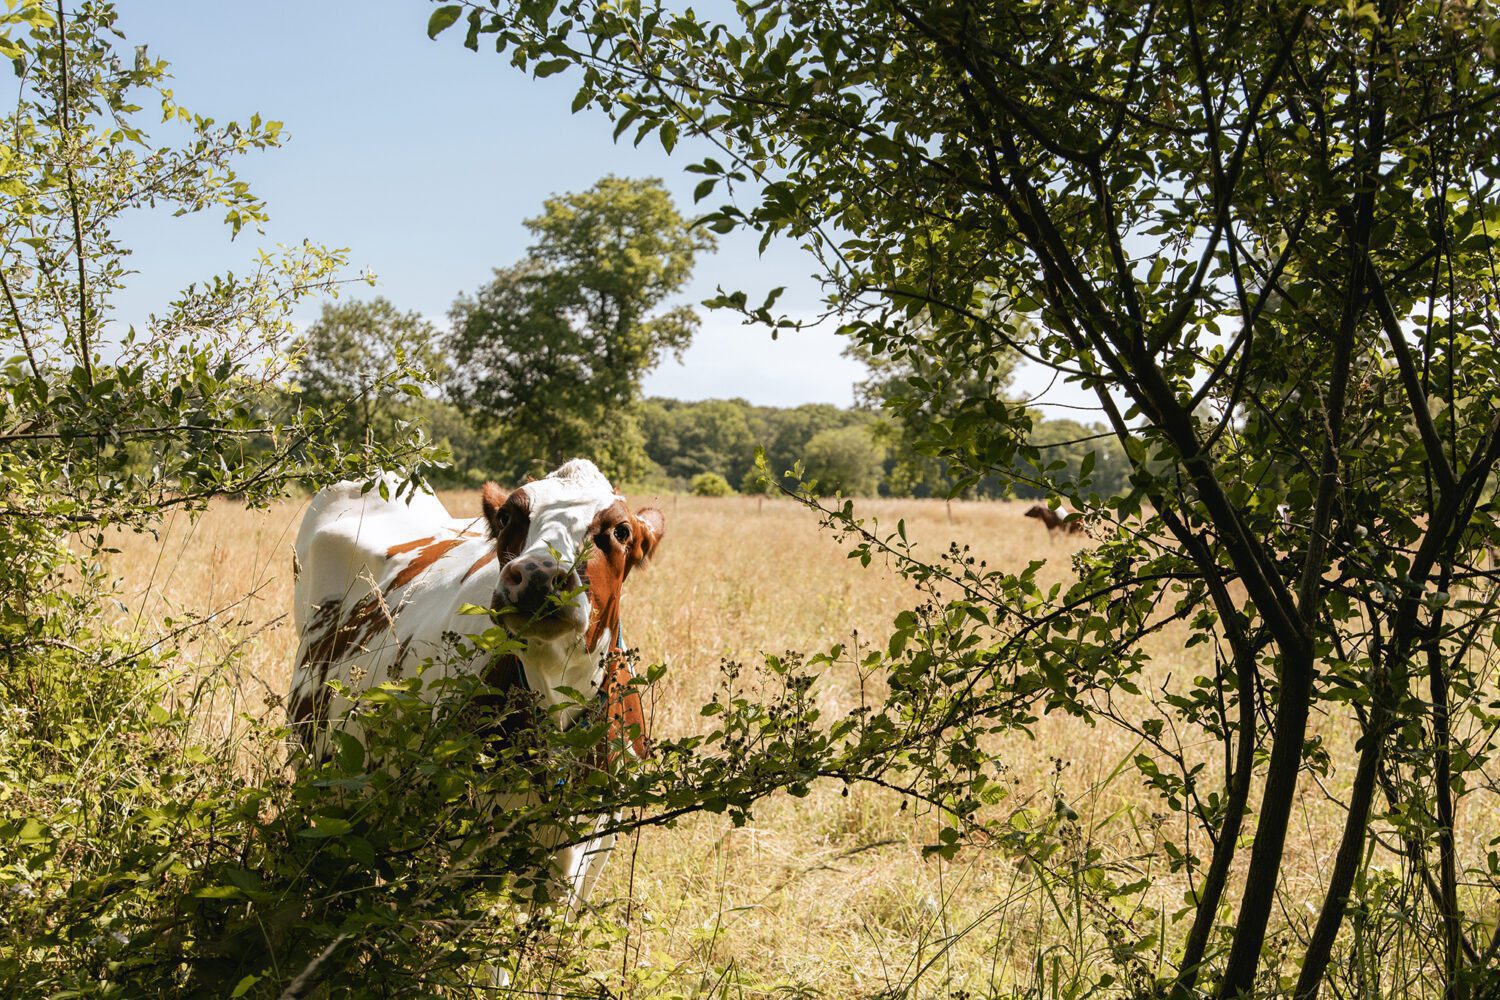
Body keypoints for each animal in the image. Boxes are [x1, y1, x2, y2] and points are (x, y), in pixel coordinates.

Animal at [286, 458, 663, 917]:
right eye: (507, 517)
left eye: (621, 531)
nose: (538, 577)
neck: (553, 687)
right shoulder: (453, 831)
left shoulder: (596, 840)